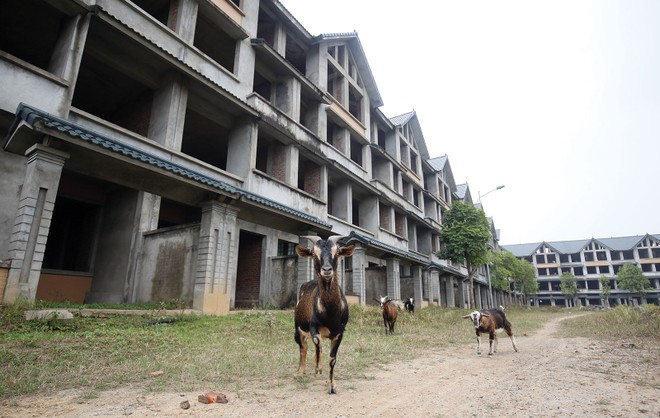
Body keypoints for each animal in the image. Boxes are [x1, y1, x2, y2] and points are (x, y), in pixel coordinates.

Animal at [296, 237, 356, 394]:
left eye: (337, 251)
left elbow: (332, 359)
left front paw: (332, 386)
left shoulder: (339, 332)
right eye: (313, 253)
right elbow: (317, 341)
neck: (330, 314)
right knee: (303, 347)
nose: (327, 270)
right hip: (298, 328)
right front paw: (317, 367)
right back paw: (300, 372)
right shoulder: (313, 326)